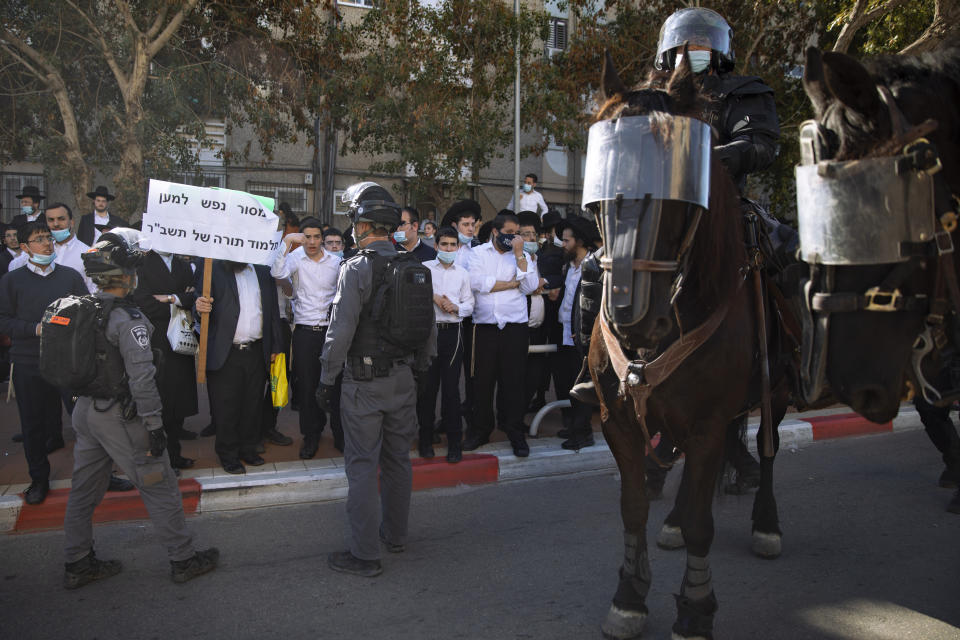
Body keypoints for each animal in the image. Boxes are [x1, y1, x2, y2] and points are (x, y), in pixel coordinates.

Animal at [588, 53, 792, 640]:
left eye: (679, 178)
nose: (632, 318)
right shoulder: (618, 418)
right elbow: (634, 507)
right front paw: (629, 597)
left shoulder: (707, 419)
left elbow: (705, 522)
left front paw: (696, 609)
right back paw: (674, 520)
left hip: (776, 391)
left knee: (766, 449)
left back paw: (766, 524)